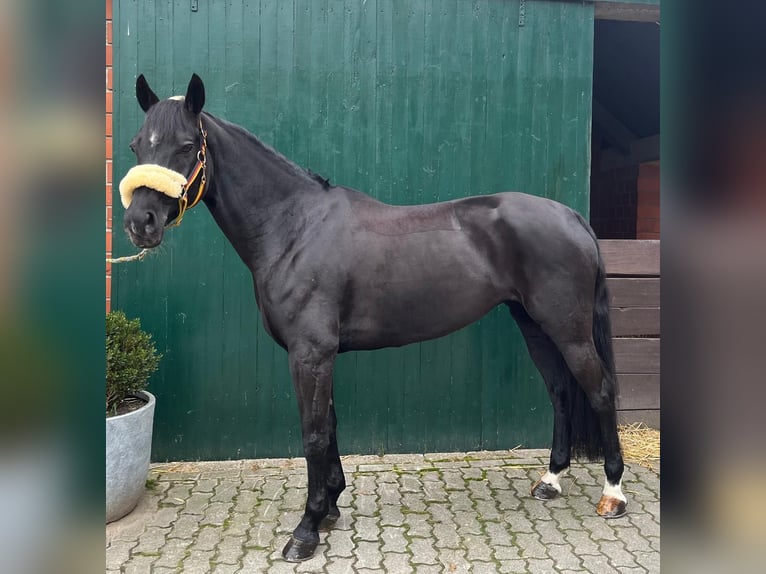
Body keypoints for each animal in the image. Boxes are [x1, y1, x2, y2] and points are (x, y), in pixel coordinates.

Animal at [118, 73, 624, 564]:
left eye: (187, 145)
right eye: (137, 145)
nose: (141, 222)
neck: (294, 227)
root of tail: (572, 216)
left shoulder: (310, 354)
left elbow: (314, 435)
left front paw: (305, 530)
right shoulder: (321, 355)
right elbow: (331, 426)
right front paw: (330, 508)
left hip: (568, 329)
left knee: (598, 391)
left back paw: (613, 494)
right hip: (534, 325)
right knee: (561, 392)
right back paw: (550, 481)